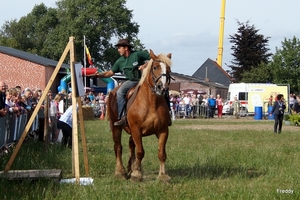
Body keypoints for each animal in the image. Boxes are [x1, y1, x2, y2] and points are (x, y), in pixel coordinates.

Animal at [107, 49, 173, 181]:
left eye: (168, 69)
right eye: (155, 67)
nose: (162, 88)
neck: (151, 103)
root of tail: (112, 92)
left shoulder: (163, 130)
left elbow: (161, 153)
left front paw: (163, 175)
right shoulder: (136, 129)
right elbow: (140, 152)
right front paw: (136, 174)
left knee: (130, 145)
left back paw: (130, 167)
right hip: (115, 127)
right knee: (118, 148)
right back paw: (120, 171)